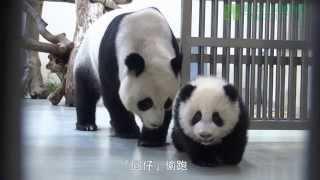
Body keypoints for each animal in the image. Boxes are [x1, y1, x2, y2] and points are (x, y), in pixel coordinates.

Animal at [73, 7, 181, 147]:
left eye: (167, 102)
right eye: (146, 103)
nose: (155, 124)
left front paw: (150, 140)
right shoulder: (111, 55)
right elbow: (114, 96)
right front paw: (129, 132)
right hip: (87, 58)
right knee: (86, 89)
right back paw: (87, 125)